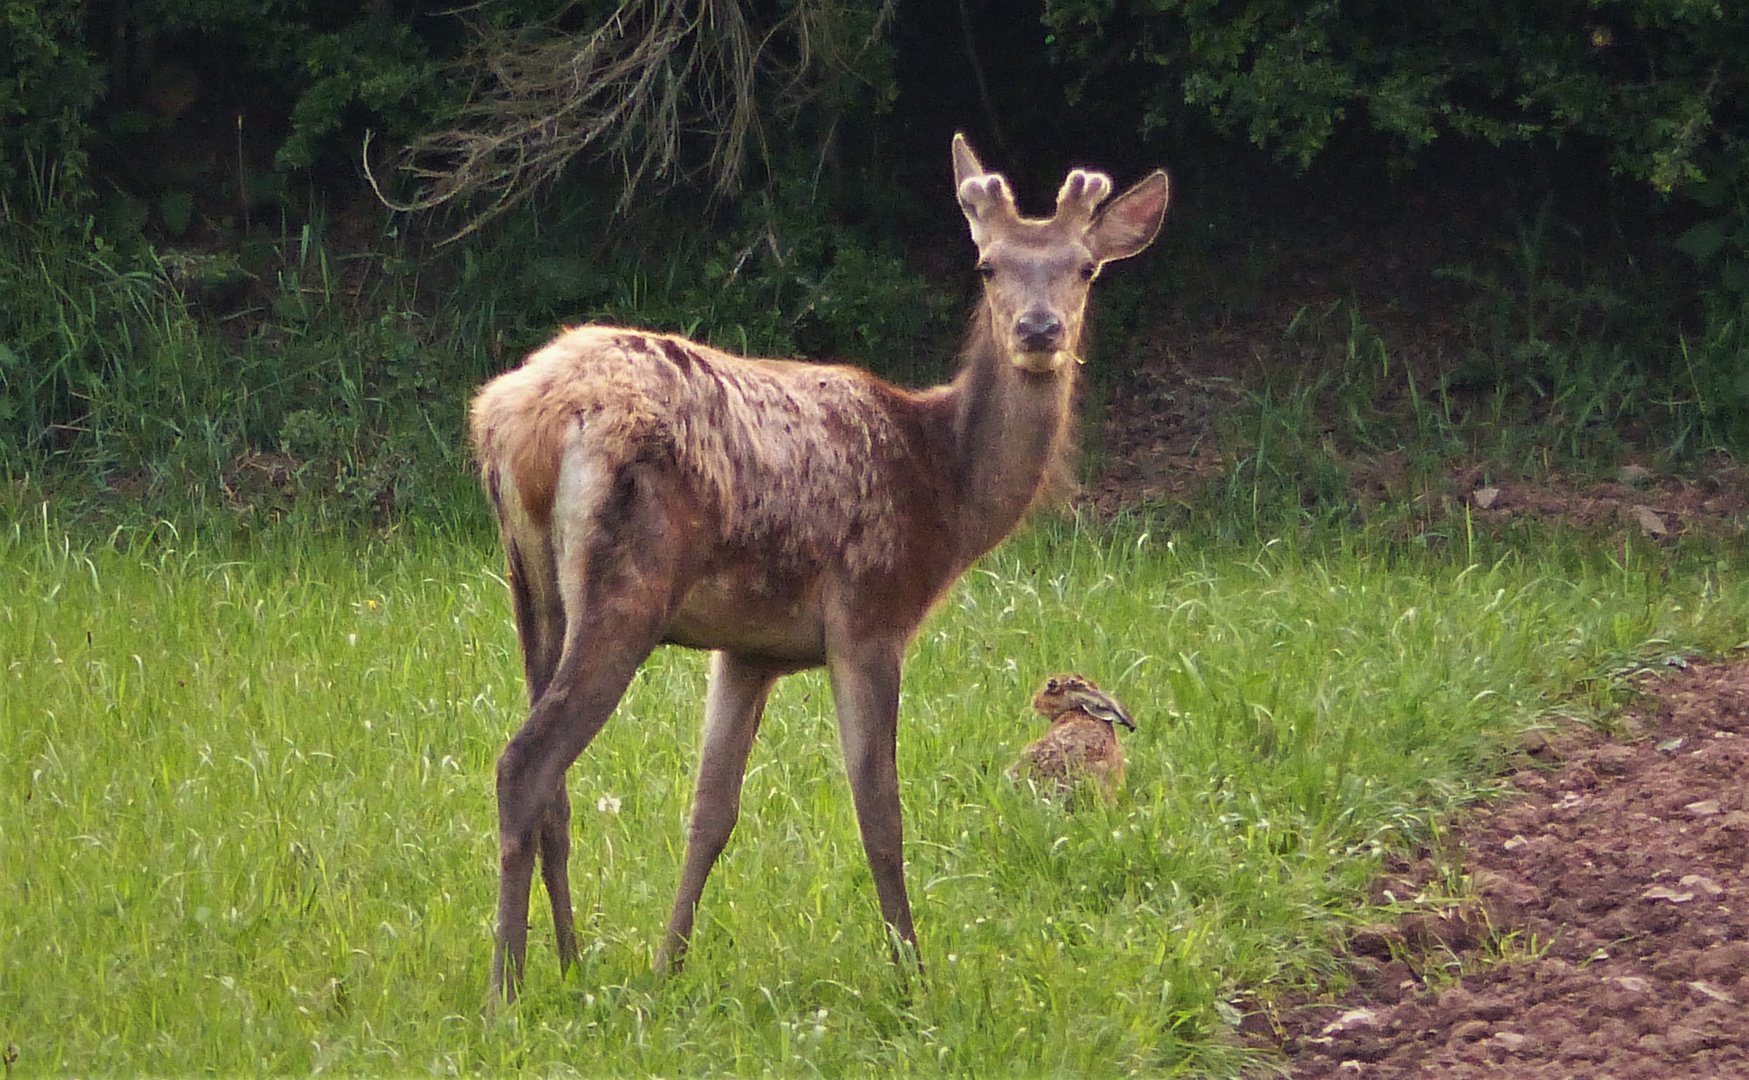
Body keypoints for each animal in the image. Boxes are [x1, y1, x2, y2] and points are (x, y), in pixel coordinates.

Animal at [472, 134, 1168, 1001]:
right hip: (624, 589)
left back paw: (569, 965)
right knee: (523, 763)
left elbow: (710, 812)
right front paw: (912, 976)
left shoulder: (747, 651)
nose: (1038, 330)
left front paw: (668, 969)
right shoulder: (870, 614)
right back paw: (504, 990)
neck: (946, 491)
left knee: (554, 785)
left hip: (530, 589)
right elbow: (880, 810)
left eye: (1084, 267)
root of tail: (518, 419)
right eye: (986, 265)